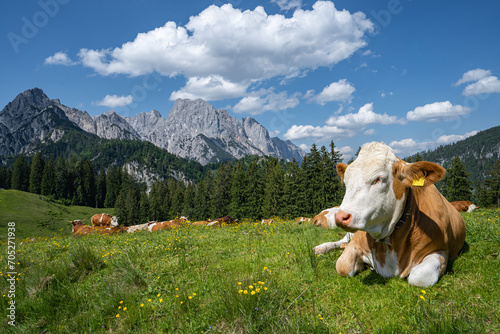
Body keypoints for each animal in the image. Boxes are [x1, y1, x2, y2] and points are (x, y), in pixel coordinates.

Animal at [314, 142, 466, 288]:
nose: (340, 217)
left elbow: (419, 277)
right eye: (346, 182)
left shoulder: (440, 250)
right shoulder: (357, 243)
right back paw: (321, 248)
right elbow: (343, 266)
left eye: (379, 179)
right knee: (342, 241)